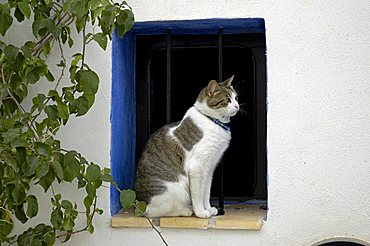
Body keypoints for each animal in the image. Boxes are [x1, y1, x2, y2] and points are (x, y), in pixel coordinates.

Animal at [134, 75, 240, 217]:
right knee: (156, 212)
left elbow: (206, 192)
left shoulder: (209, 168)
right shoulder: (198, 167)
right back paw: (186, 210)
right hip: (174, 188)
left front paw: (209, 208)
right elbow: (198, 195)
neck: (213, 121)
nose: (237, 106)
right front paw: (201, 212)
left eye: (236, 98)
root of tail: (139, 206)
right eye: (227, 100)